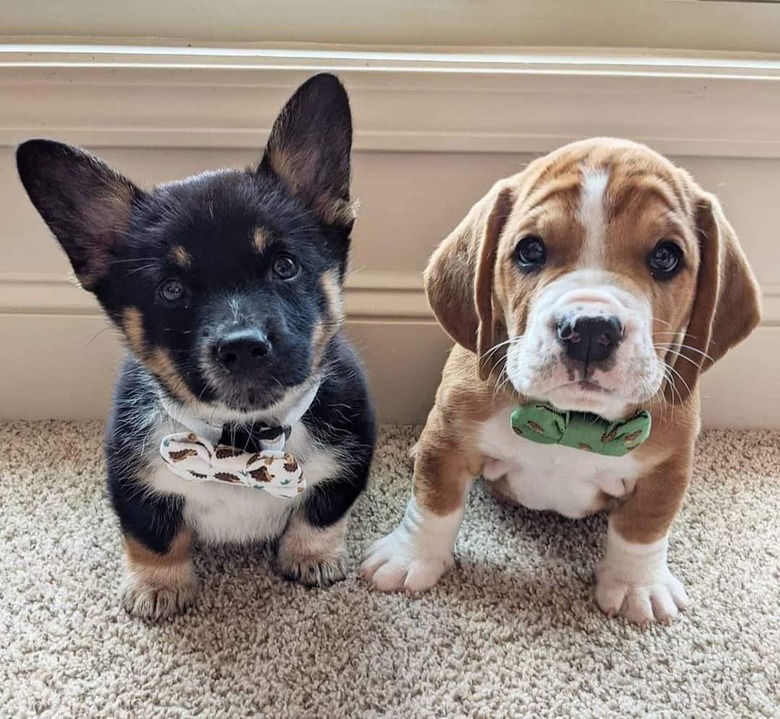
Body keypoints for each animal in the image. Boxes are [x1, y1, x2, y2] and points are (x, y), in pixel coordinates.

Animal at [14, 76, 374, 620]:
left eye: (285, 266)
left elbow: (321, 513)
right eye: (171, 290)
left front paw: (310, 556)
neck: (241, 442)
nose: (243, 348)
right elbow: (153, 536)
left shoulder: (349, 464)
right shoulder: (131, 482)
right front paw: (158, 586)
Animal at [362, 139, 760, 624]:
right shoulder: (450, 437)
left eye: (666, 257)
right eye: (530, 251)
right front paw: (410, 557)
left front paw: (637, 585)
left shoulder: (669, 465)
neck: (574, 423)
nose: (589, 329)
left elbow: (644, 528)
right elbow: (433, 501)